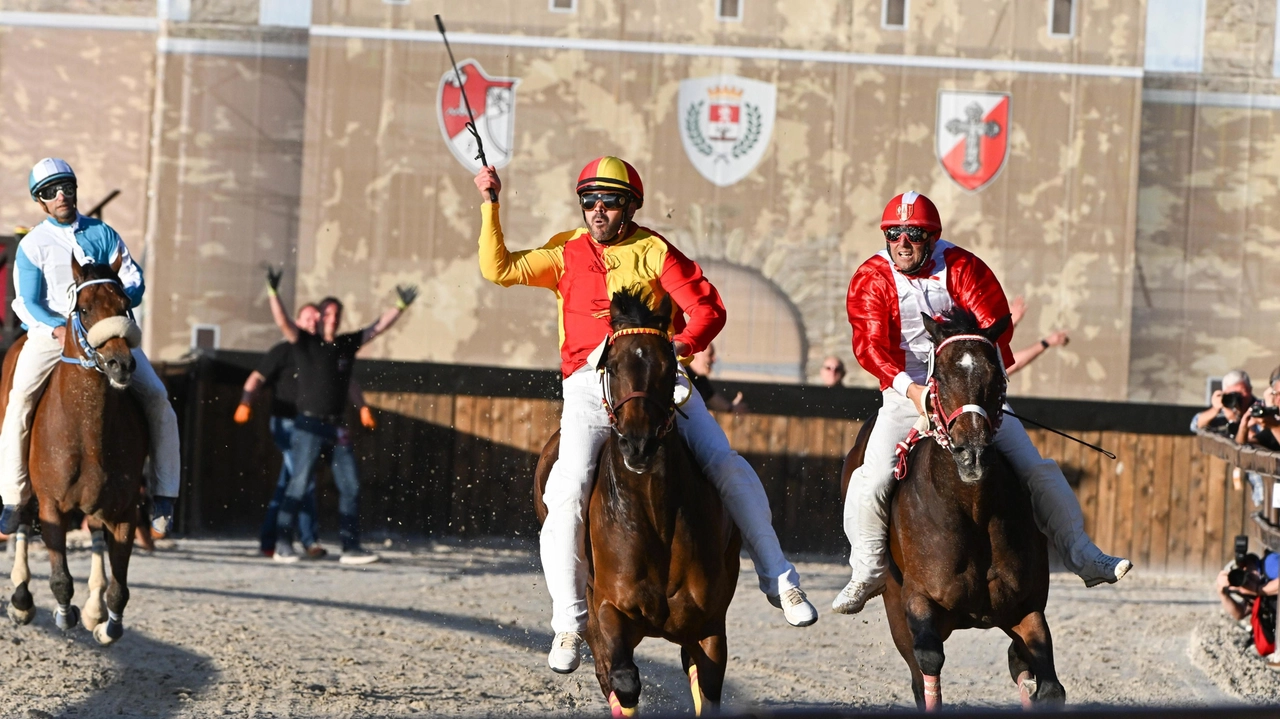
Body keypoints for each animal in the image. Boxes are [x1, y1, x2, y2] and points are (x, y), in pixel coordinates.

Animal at [4, 253, 148, 644]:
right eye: (83, 309)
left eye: (125, 305)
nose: (120, 364)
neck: (87, 430)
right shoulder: (52, 505)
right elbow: (61, 580)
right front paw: (61, 613)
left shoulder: (125, 510)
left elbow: (120, 589)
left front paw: (105, 624)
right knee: (21, 516)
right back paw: (21, 598)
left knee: (96, 532)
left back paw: (94, 608)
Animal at [535, 287, 747, 711]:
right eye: (612, 366)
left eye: (669, 367)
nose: (639, 444)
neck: (653, 513)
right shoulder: (609, 610)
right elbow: (623, 680)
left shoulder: (709, 626)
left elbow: (707, 687)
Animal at [834, 308, 1064, 711]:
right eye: (939, 377)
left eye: (996, 375)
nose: (972, 454)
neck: (972, 511)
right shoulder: (917, 601)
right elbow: (928, 663)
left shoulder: (1026, 607)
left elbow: (1049, 685)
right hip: (894, 604)